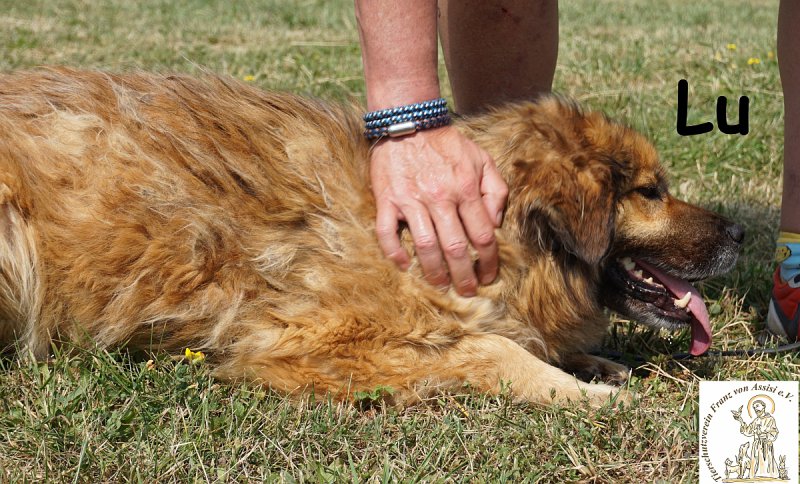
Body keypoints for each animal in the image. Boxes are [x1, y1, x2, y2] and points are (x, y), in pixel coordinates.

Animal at [0, 68, 742, 406]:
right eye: (650, 192)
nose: (738, 232)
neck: (501, 237)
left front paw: (593, 362)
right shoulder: (312, 342)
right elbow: (488, 348)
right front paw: (579, 391)